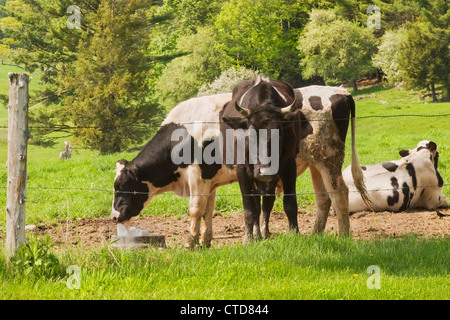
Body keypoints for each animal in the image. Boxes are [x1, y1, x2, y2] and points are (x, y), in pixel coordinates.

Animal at [221, 76, 300, 244]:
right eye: (250, 136)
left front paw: (294, 233)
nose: (265, 171)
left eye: (280, 134)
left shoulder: (289, 165)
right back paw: (256, 233)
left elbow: (289, 203)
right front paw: (248, 237)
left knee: (266, 203)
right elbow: (249, 208)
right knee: (257, 203)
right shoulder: (242, 170)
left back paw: (264, 231)